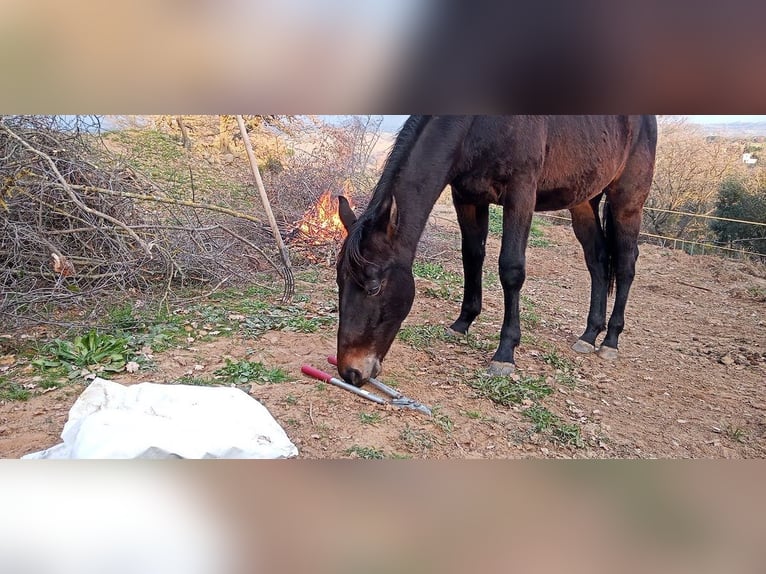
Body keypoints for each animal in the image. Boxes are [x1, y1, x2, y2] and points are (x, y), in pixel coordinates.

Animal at [336, 116, 660, 388]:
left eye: (374, 287)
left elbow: (511, 269)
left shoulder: (521, 194)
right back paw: (589, 334)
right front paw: (463, 322)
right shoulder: (467, 197)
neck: (479, 125)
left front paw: (505, 353)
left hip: (627, 202)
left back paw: (610, 340)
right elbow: (471, 256)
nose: (350, 372)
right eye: (340, 281)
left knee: (626, 265)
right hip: (583, 201)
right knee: (598, 261)